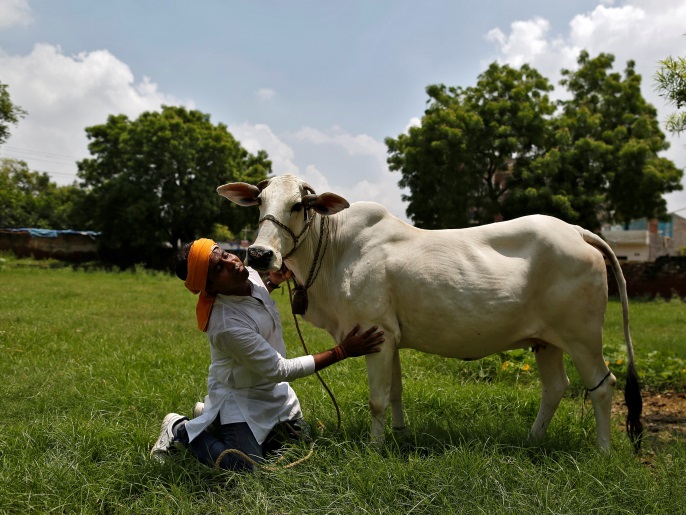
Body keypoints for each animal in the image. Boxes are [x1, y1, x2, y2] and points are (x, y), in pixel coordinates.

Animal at [217, 173, 643, 452]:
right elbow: (395, 393)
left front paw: (375, 448)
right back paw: (532, 441)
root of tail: (575, 230)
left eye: (298, 205)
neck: (335, 250)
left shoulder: (375, 334)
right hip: (546, 341)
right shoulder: (390, 338)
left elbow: (377, 399)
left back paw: (602, 451)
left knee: (602, 386)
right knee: (555, 388)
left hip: (582, 336)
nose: (260, 254)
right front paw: (400, 435)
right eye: (260, 203)